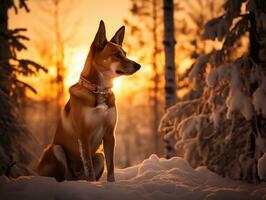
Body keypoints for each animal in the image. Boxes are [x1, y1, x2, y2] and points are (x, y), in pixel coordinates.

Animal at [38, 21, 141, 182]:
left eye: (125, 53)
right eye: (117, 55)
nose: (138, 66)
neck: (99, 90)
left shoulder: (110, 134)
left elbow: (111, 167)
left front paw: (111, 184)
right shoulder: (83, 135)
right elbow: (89, 168)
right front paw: (93, 184)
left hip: (98, 156)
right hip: (56, 149)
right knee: (62, 175)